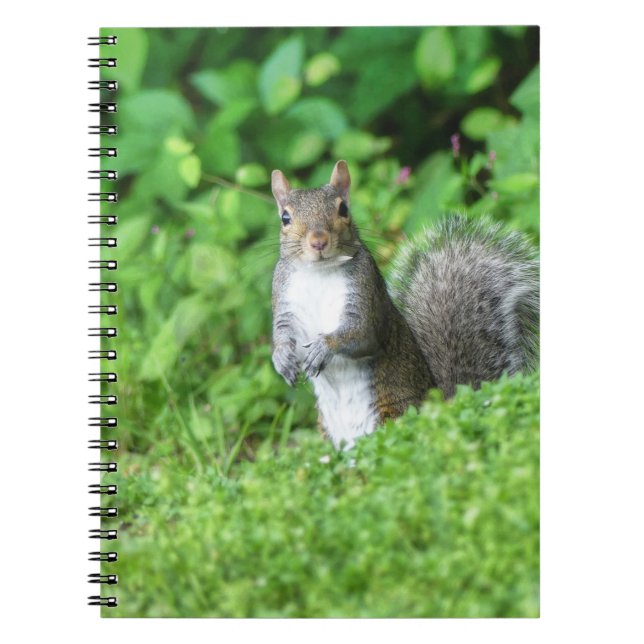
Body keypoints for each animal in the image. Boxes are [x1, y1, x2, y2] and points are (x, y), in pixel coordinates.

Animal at [270, 160, 539, 449]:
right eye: (285, 218)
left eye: (343, 209)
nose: (318, 241)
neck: (319, 272)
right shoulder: (283, 300)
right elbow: (282, 334)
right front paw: (281, 358)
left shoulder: (367, 295)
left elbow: (361, 334)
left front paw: (323, 347)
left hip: (393, 412)